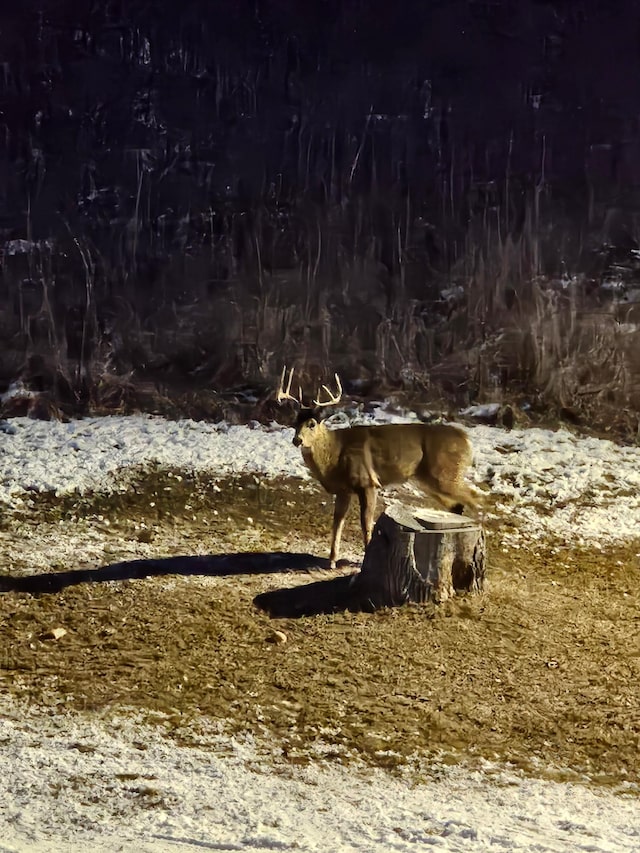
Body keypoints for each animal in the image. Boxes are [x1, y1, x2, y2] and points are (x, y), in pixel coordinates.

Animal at [278, 366, 478, 564]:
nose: (297, 440)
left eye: (312, 424)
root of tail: (467, 441)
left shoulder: (368, 482)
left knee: (474, 498)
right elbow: (337, 521)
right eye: (295, 422)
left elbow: (366, 523)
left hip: (445, 474)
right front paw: (332, 561)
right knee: (458, 504)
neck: (334, 457)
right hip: (429, 481)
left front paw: (366, 556)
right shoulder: (344, 490)